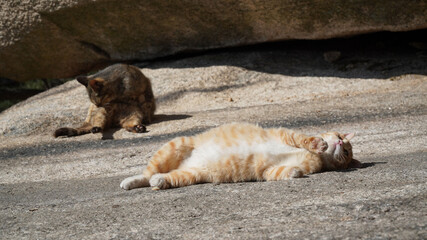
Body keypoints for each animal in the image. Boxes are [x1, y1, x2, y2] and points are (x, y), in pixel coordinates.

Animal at [120, 123, 362, 190]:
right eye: (340, 136)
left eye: (346, 153)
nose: (340, 142)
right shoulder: (288, 134)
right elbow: (306, 139)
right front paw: (318, 143)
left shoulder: (268, 170)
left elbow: (287, 171)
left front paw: (296, 172)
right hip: (173, 146)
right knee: (146, 174)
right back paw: (130, 181)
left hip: (189, 175)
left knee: (161, 177)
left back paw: (159, 181)